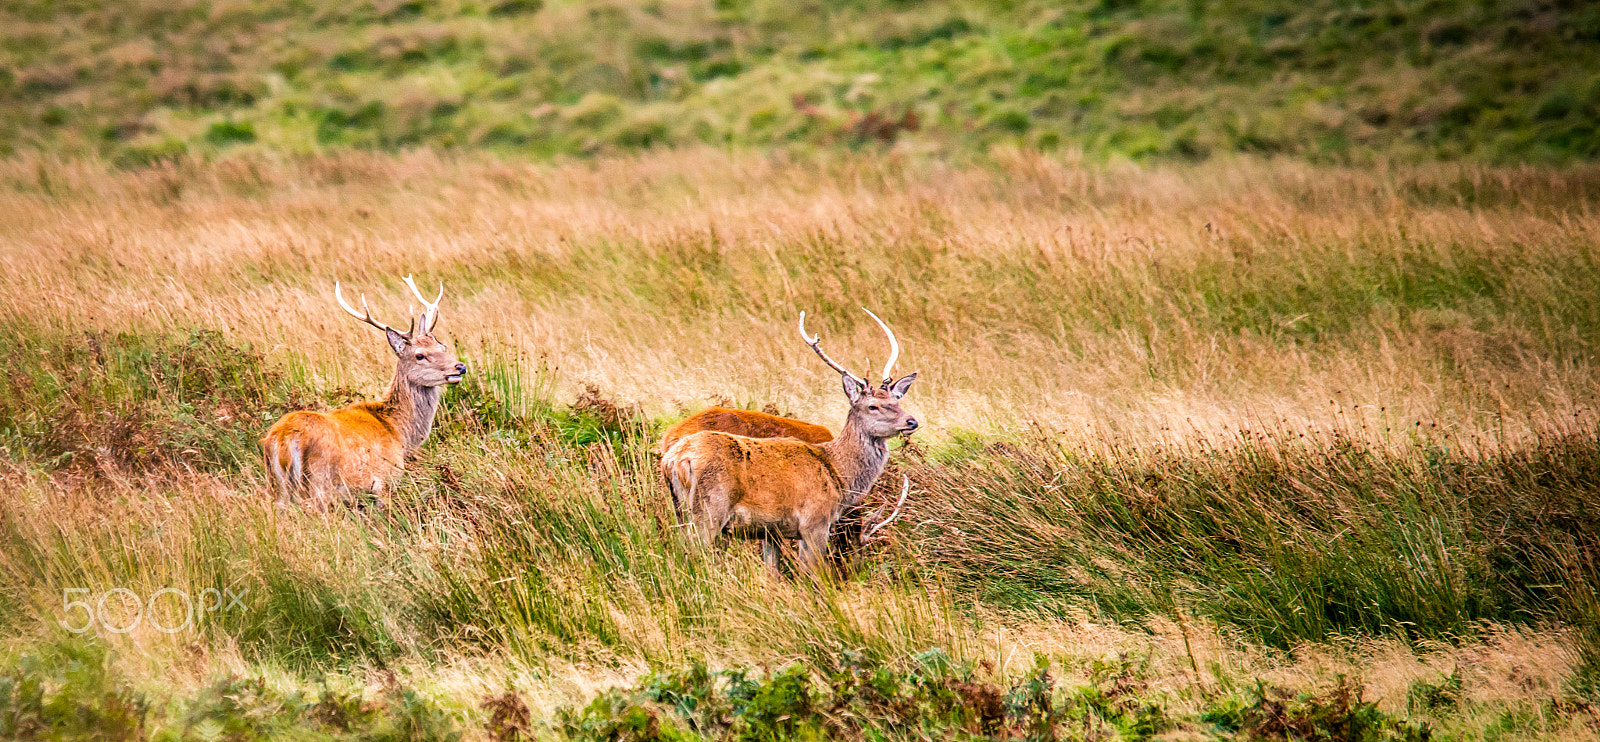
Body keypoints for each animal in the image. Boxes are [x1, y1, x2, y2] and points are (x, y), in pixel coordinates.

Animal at [261, 276, 467, 510]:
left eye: (442, 346)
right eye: (420, 355)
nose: (460, 367)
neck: (398, 432)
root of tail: (284, 440)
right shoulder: (385, 479)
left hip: (276, 488)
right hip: (319, 483)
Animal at [661, 309, 918, 575]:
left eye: (897, 400)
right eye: (872, 406)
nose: (911, 421)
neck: (838, 475)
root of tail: (675, 458)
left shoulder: (770, 530)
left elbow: (773, 572)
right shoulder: (814, 522)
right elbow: (814, 574)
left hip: (679, 508)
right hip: (710, 507)